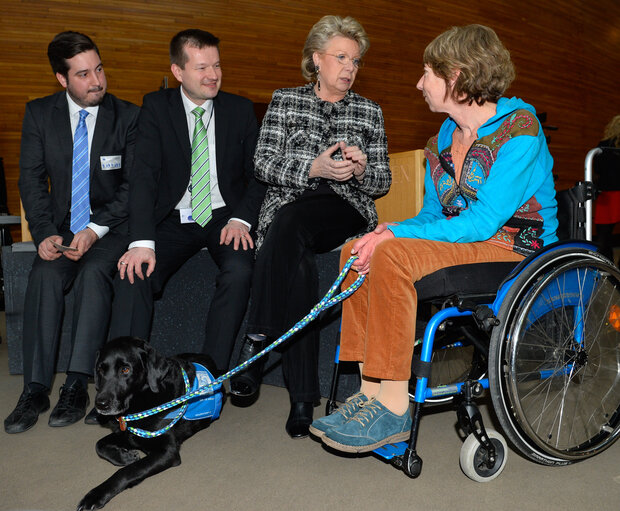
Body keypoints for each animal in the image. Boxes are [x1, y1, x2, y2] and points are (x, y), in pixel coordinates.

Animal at [77, 338, 223, 510]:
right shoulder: (128, 434)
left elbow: (127, 471)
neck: (140, 400)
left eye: (125, 369)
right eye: (100, 369)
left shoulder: (167, 452)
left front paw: (95, 495)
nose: (101, 404)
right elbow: (99, 445)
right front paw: (125, 456)